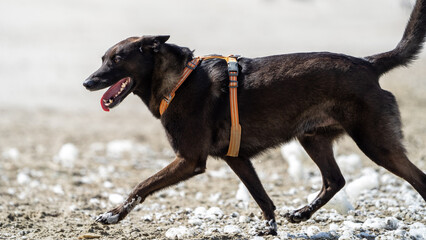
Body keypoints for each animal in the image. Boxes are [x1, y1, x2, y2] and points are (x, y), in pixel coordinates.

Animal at [84, 0, 426, 235]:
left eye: (117, 59)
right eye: (102, 59)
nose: (87, 82)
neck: (179, 80)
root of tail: (368, 64)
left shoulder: (189, 159)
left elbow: (141, 185)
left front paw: (113, 214)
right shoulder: (236, 158)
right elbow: (262, 198)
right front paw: (271, 228)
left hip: (376, 143)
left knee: (417, 178)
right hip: (312, 138)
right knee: (335, 180)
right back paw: (302, 213)